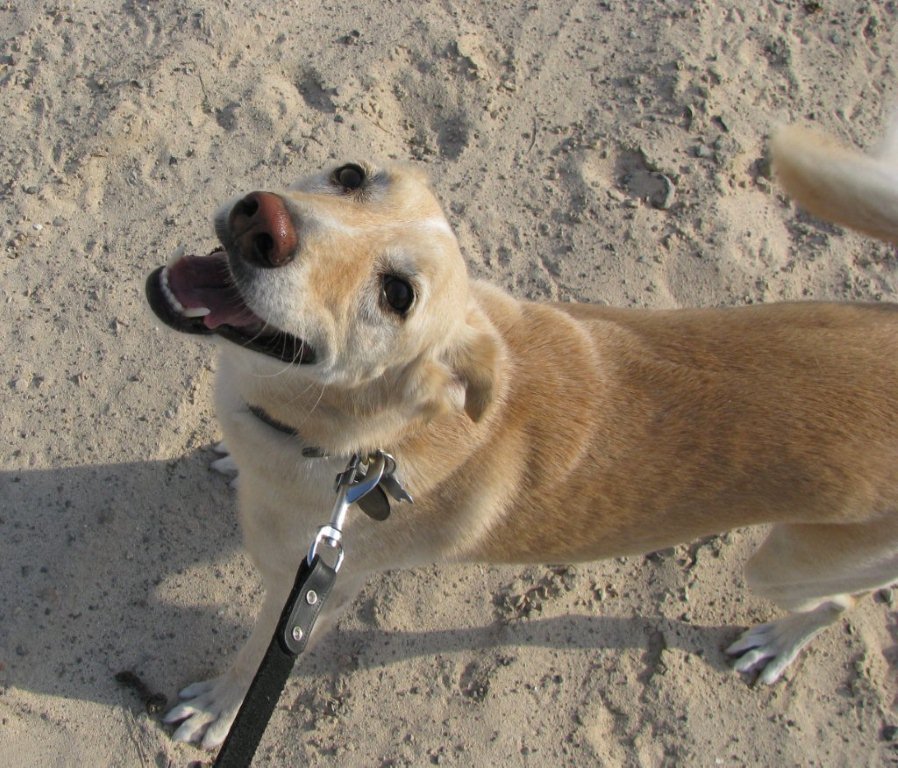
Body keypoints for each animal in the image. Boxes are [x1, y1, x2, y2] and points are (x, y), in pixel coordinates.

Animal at [144, 121, 896, 752]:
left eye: (397, 295)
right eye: (351, 174)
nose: (263, 222)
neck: (367, 437)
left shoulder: (304, 595)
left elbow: (251, 663)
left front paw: (216, 711)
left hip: (787, 566)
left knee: (839, 600)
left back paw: (778, 642)